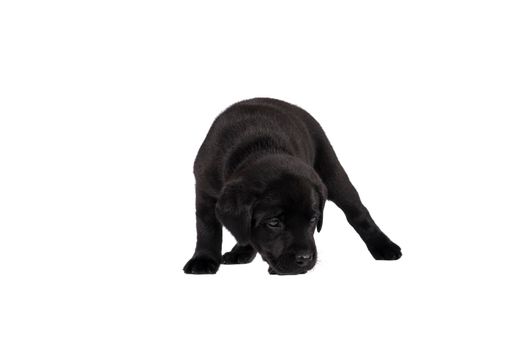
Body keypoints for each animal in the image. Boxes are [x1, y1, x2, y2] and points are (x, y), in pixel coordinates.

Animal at [182, 97, 400, 274]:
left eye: (313, 219)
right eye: (273, 223)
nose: (305, 259)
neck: (257, 148)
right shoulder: (204, 193)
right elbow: (207, 229)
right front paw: (203, 259)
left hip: (333, 174)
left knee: (358, 212)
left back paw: (384, 246)